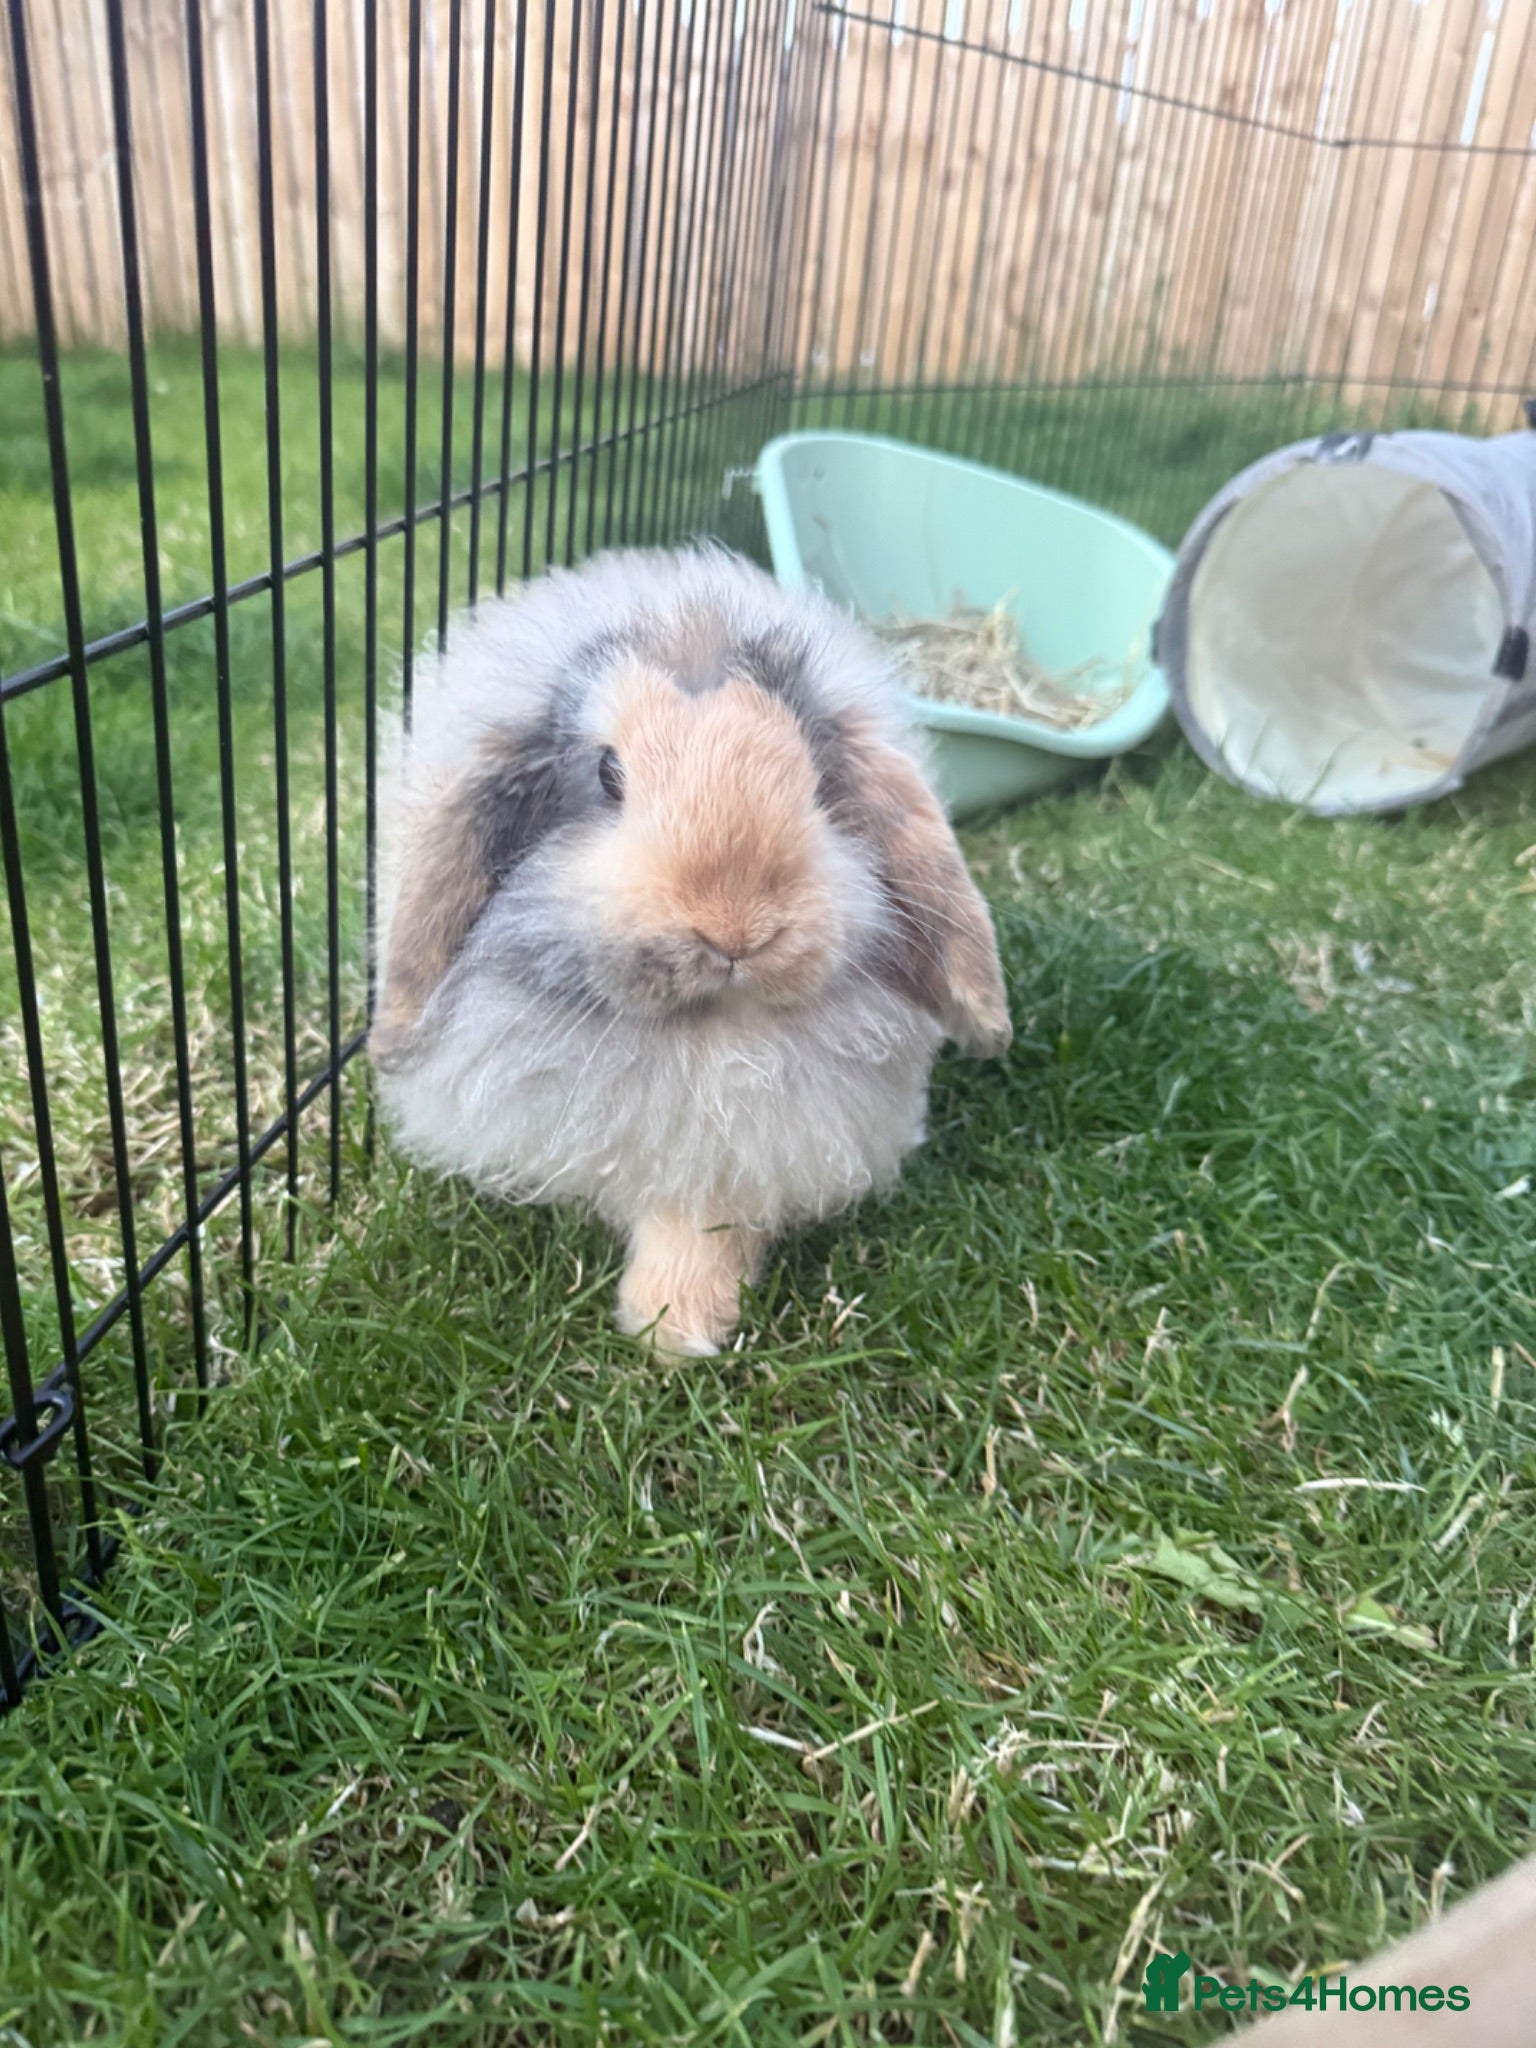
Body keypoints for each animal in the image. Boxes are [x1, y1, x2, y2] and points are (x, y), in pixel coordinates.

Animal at [370, 544, 1012, 1356]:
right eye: (608, 775)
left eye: (814, 779)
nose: (735, 928)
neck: (708, 1027)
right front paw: (671, 1332)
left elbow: (698, 1236)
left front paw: (676, 1331)